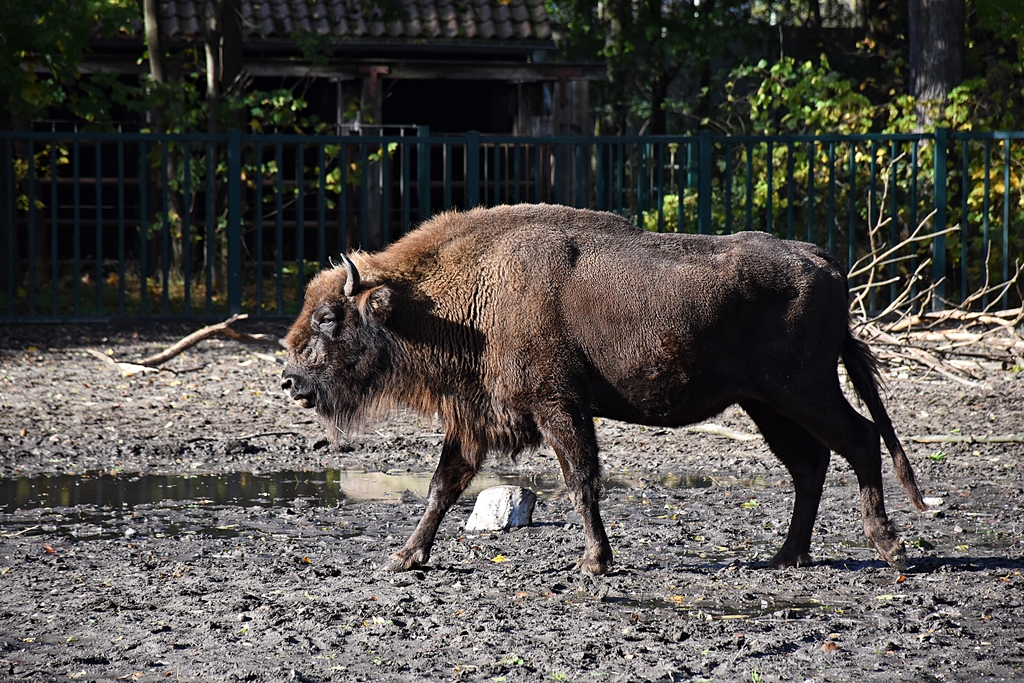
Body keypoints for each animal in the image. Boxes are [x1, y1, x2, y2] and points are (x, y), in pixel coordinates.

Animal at [282, 204, 925, 574]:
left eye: (329, 318)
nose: (290, 381)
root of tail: (824, 261)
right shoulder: (474, 418)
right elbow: (446, 483)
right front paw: (405, 558)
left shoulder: (558, 405)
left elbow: (581, 479)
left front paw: (593, 563)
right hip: (766, 404)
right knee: (810, 463)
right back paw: (785, 556)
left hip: (803, 391)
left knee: (859, 441)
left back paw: (888, 548)